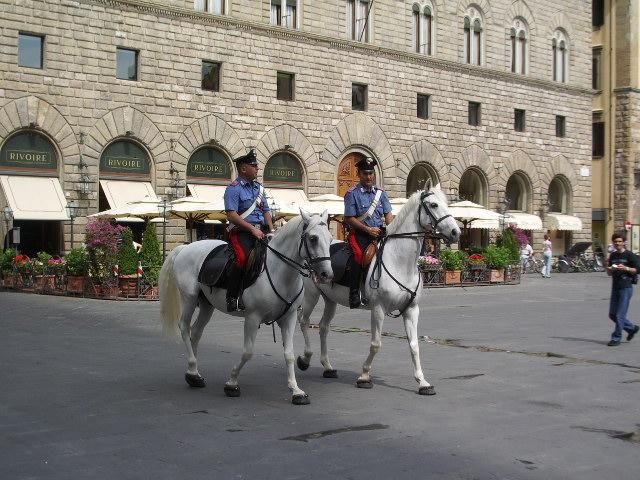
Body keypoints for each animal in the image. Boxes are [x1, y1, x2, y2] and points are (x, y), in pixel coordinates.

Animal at [159, 212, 332, 404]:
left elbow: (289, 354)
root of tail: (185, 247)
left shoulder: (289, 317)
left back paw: (193, 373)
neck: (279, 272)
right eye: (313, 238)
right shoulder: (252, 318)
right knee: (184, 327)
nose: (327, 274)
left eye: (330, 238)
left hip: (206, 305)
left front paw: (296, 391)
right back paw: (192, 367)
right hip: (189, 298)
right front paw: (232, 383)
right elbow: (248, 352)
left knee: (195, 332)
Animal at [296, 184, 460, 394]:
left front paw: (422, 382)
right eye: (433, 204)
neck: (399, 261)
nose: (456, 232)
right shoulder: (378, 309)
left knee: (323, 327)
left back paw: (327, 367)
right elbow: (376, 344)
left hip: (330, 300)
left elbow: (414, 344)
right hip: (311, 295)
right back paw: (304, 359)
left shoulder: (411, 309)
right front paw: (364, 376)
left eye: (446, 203)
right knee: (303, 321)